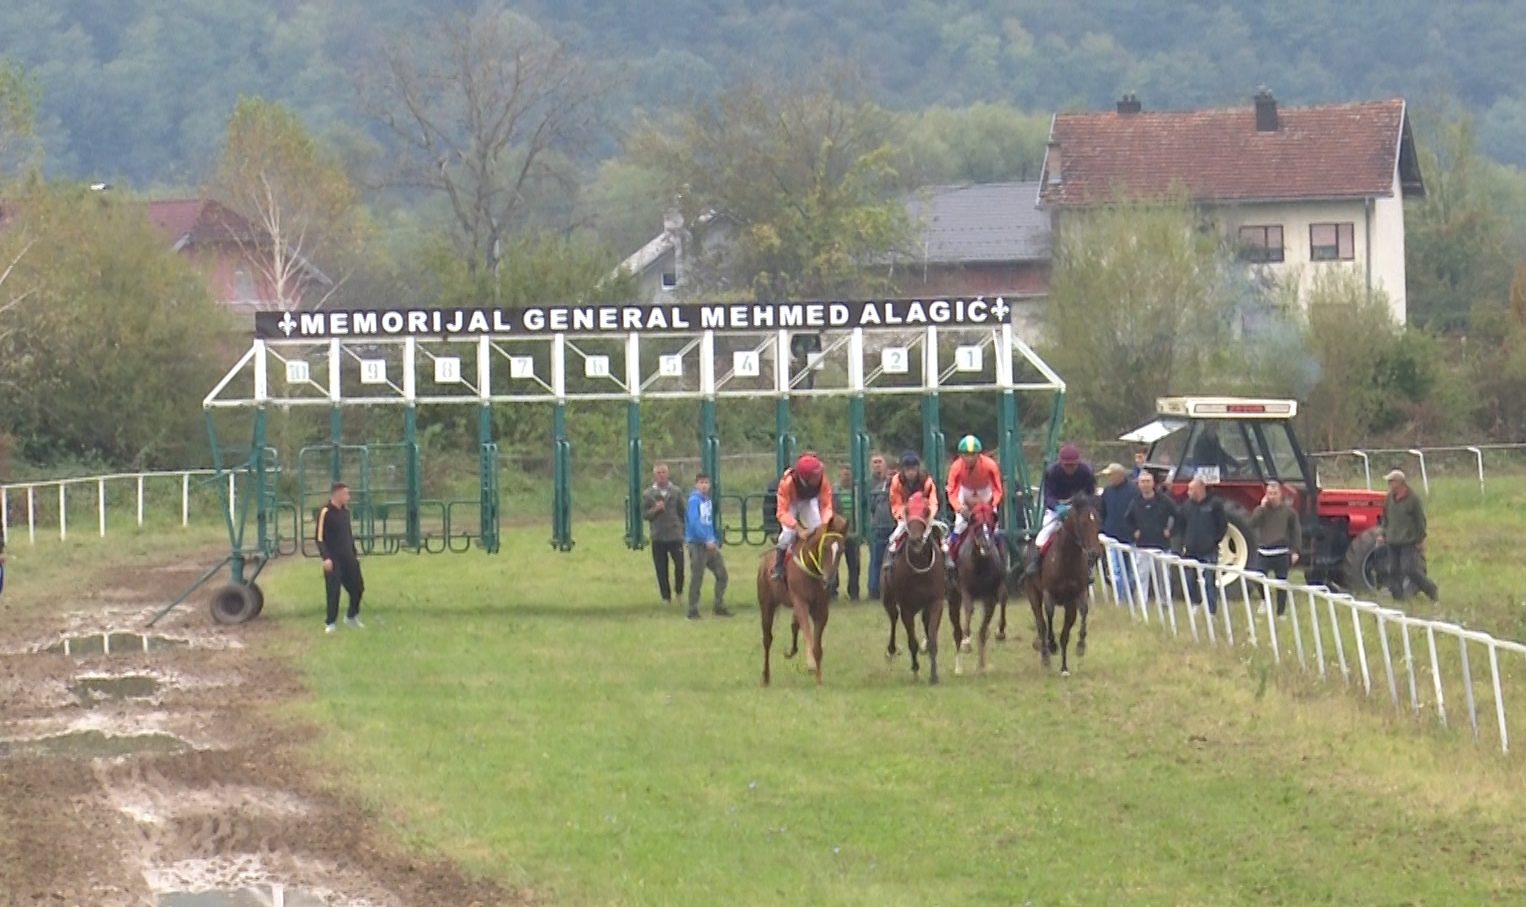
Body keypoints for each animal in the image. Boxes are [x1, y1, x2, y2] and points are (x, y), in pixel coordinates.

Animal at [756, 512, 850, 686]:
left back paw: (791, 651)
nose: (829, 581)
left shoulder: (821, 609)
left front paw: (819, 679)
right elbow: (807, 632)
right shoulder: (801, 603)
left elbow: (817, 645)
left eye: (841, 550)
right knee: (767, 639)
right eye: (825, 547)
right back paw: (765, 677)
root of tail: (765, 561)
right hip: (767, 604)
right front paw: (811, 664)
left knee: (794, 625)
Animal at [879, 494, 947, 684]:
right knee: (893, 618)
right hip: (888, 599)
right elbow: (911, 641)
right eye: (907, 511)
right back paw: (891, 650)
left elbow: (932, 639)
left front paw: (934, 674)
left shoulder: (936, 602)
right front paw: (916, 669)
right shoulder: (906, 607)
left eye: (926, 510)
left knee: (924, 623)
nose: (916, 540)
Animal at [947, 501, 1007, 675]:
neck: (980, 565)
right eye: (978, 526)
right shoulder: (966, 590)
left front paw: (981, 666)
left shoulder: (990, 596)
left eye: (991, 525)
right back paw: (958, 667)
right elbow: (968, 611)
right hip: (952, 596)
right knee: (956, 631)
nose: (986, 546)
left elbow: (982, 631)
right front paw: (967, 643)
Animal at [1021, 494, 1104, 677]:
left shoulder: (1077, 594)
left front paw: (1080, 646)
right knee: (1041, 624)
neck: (1067, 557)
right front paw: (1052, 645)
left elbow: (1081, 614)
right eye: (1083, 522)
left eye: (1098, 520)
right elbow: (1049, 617)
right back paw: (1045, 656)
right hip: (1032, 593)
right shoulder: (1049, 593)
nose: (1095, 553)